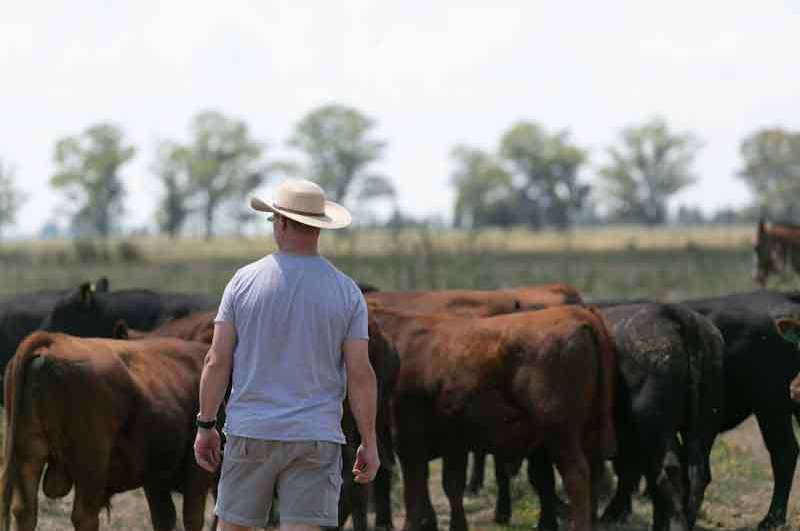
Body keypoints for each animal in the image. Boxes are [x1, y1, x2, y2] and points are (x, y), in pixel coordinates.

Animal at [0, 334, 212, 528]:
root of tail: (55, 340)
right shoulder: (196, 475)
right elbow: (193, 518)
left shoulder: (155, 482)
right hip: (92, 466)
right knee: (84, 516)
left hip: (28, 456)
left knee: (24, 511)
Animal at [370, 304, 620, 531]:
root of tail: (578, 314)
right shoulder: (454, 442)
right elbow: (452, 486)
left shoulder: (408, 440)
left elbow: (414, 493)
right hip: (590, 430)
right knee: (594, 474)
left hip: (561, 433)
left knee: (576, 476)